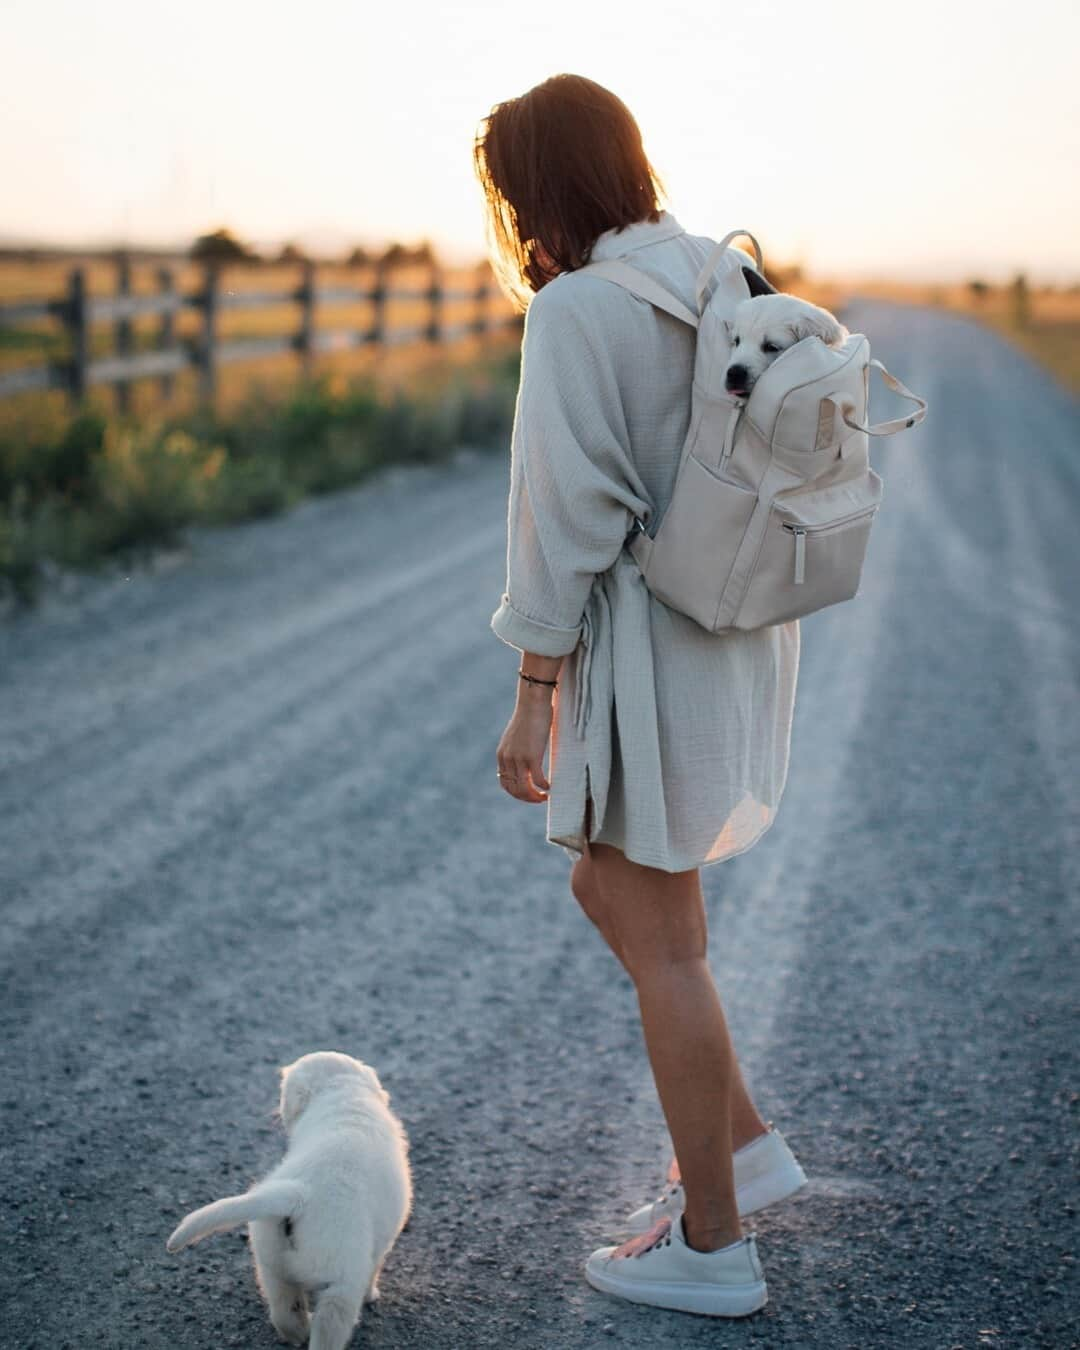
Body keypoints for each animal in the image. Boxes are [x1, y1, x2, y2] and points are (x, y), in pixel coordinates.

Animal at [166, 1053, 410, 1350]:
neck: (345, 1096)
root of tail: (299, 1194)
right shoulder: (382, 1242)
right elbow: (376, 1268)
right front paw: (372, 1295)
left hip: (270, 1260)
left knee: (285, 1310)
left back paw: (297, 1331)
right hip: (341, 1282)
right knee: (328, 1328)